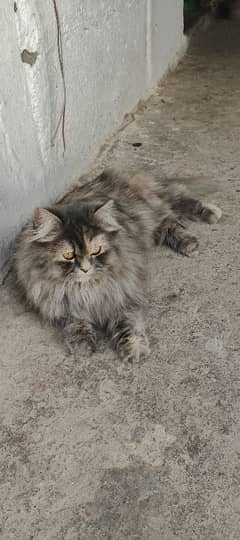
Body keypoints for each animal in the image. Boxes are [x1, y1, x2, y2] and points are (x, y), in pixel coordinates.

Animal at [15, 169, 221, 360]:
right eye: (68, 255)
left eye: (96, 250)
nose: (85, 268)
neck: (87, 290)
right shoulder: (62, 308)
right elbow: (75, 324)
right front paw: (83, 345)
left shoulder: (123, 295)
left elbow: (127, 325)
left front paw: (134, 349)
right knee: (168, 222)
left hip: (154, 204)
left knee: (177, 202)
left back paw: (206, 220)